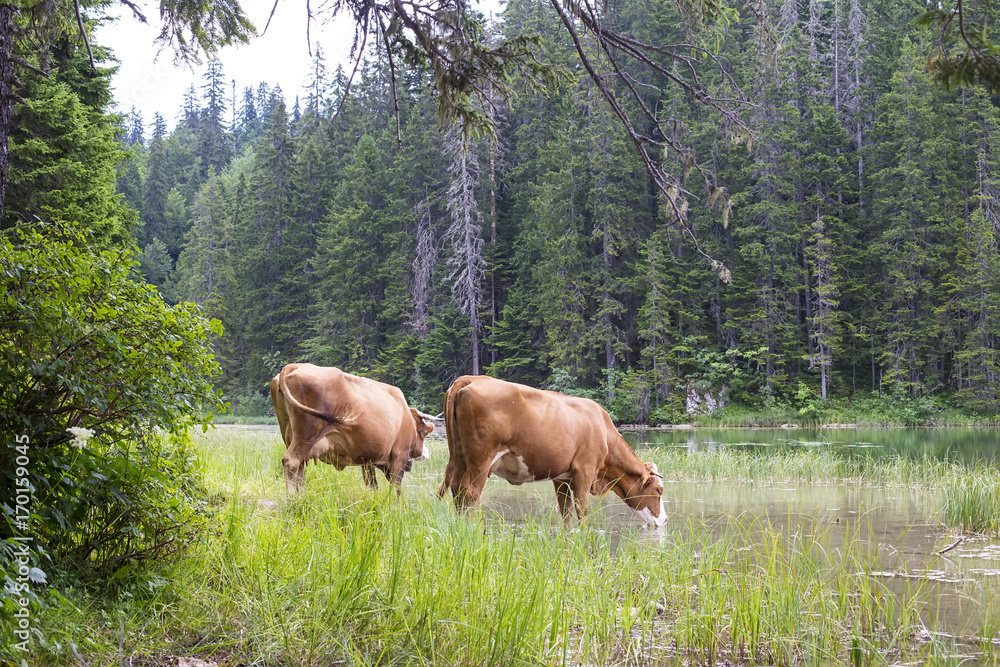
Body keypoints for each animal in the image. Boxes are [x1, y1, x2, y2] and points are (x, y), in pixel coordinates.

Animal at [270, 363, 435, 494]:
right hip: (307, 434)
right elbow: (396, 489)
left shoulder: (367, 461)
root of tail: (296, 365)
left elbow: (372, 485)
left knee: (299, 469)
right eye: (424, 433)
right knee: (291, 462)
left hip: (290, 435)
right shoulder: (399, 456)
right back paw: (293, 500)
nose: (425, 453)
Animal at [437, 375, 667, 528]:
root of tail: (471, 378)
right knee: (470, 493)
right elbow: (582, 510)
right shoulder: (585, 470)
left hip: (458, 456)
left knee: (456, 488)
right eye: (658, 491)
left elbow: (566, 512)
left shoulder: (561, 477)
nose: (664, 520)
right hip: (481, 460)